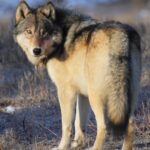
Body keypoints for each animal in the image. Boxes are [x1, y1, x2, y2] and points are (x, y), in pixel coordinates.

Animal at [13, 1, 141, 150]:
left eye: (44, 32)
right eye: (29, 32)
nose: (36, 50)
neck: (62, 35)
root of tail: (120, 36)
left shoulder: (65, 90)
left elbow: (67, 124)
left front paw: (63, 146)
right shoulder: (82, 93)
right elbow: (79, 123)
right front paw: (77, 144)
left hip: (96, 96)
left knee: (103, 126)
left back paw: (95, 148)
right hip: (127, 97)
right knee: (130, 123)